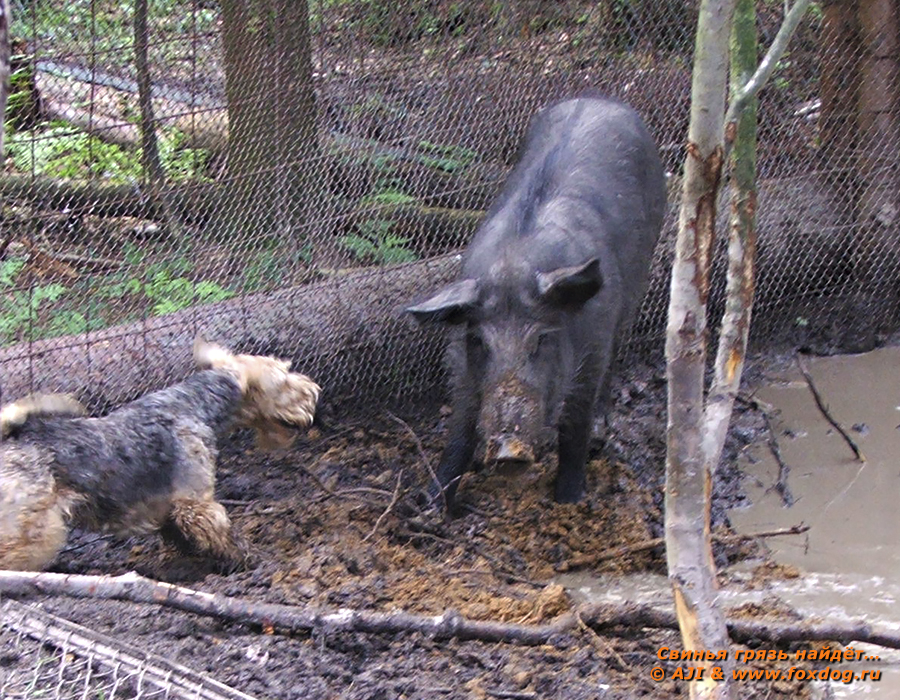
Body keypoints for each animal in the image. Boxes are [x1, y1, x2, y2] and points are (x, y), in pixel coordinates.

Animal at [0, 340, 322, 576]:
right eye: (283, 379)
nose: (314, 391)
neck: (194, 405)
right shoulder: (197, 503)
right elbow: (225, 533)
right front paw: (249, 559)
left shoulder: (170, 508)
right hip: (35, 528)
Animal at [412, 95, 664, 512]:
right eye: (479, 340)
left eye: (542, 339)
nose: (506, 450)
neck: (514, 266)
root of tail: (599, 99)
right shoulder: (461, 361)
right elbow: (460, 428)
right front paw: (426, 507)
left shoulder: (592, 348)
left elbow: (574, 428)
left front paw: (570, 501)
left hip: (637, 281)